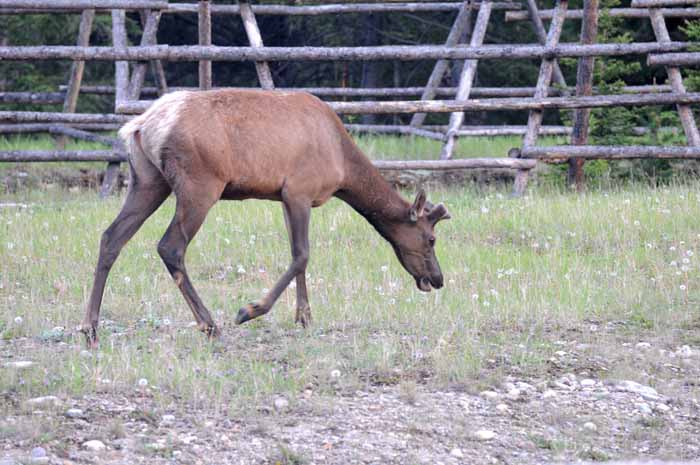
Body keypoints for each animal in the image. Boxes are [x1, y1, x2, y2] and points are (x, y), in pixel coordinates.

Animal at [79, 89, 452, 348]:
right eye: (431, 239)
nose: (437, 278)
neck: (344, 167)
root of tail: (141, 125)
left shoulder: (285, 197)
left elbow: (297, 257)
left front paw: (304, 316)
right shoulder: (300, 190)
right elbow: (302, 255)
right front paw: (251, 310)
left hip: (147, 180)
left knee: (111, 236)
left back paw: (90, 327)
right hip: (200, 184)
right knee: (170, 246)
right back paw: (210, 324)